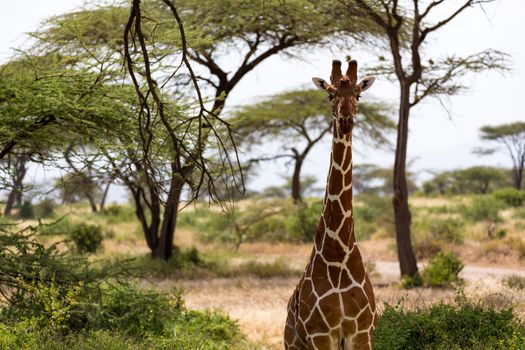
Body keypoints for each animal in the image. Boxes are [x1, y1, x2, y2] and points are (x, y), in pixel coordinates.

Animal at [282, 58, 376, 348]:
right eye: (330, 95)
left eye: (358, 94)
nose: (345, 121)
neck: (338, 256)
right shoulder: (321, 335)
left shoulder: (362, 332)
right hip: (292, 343)